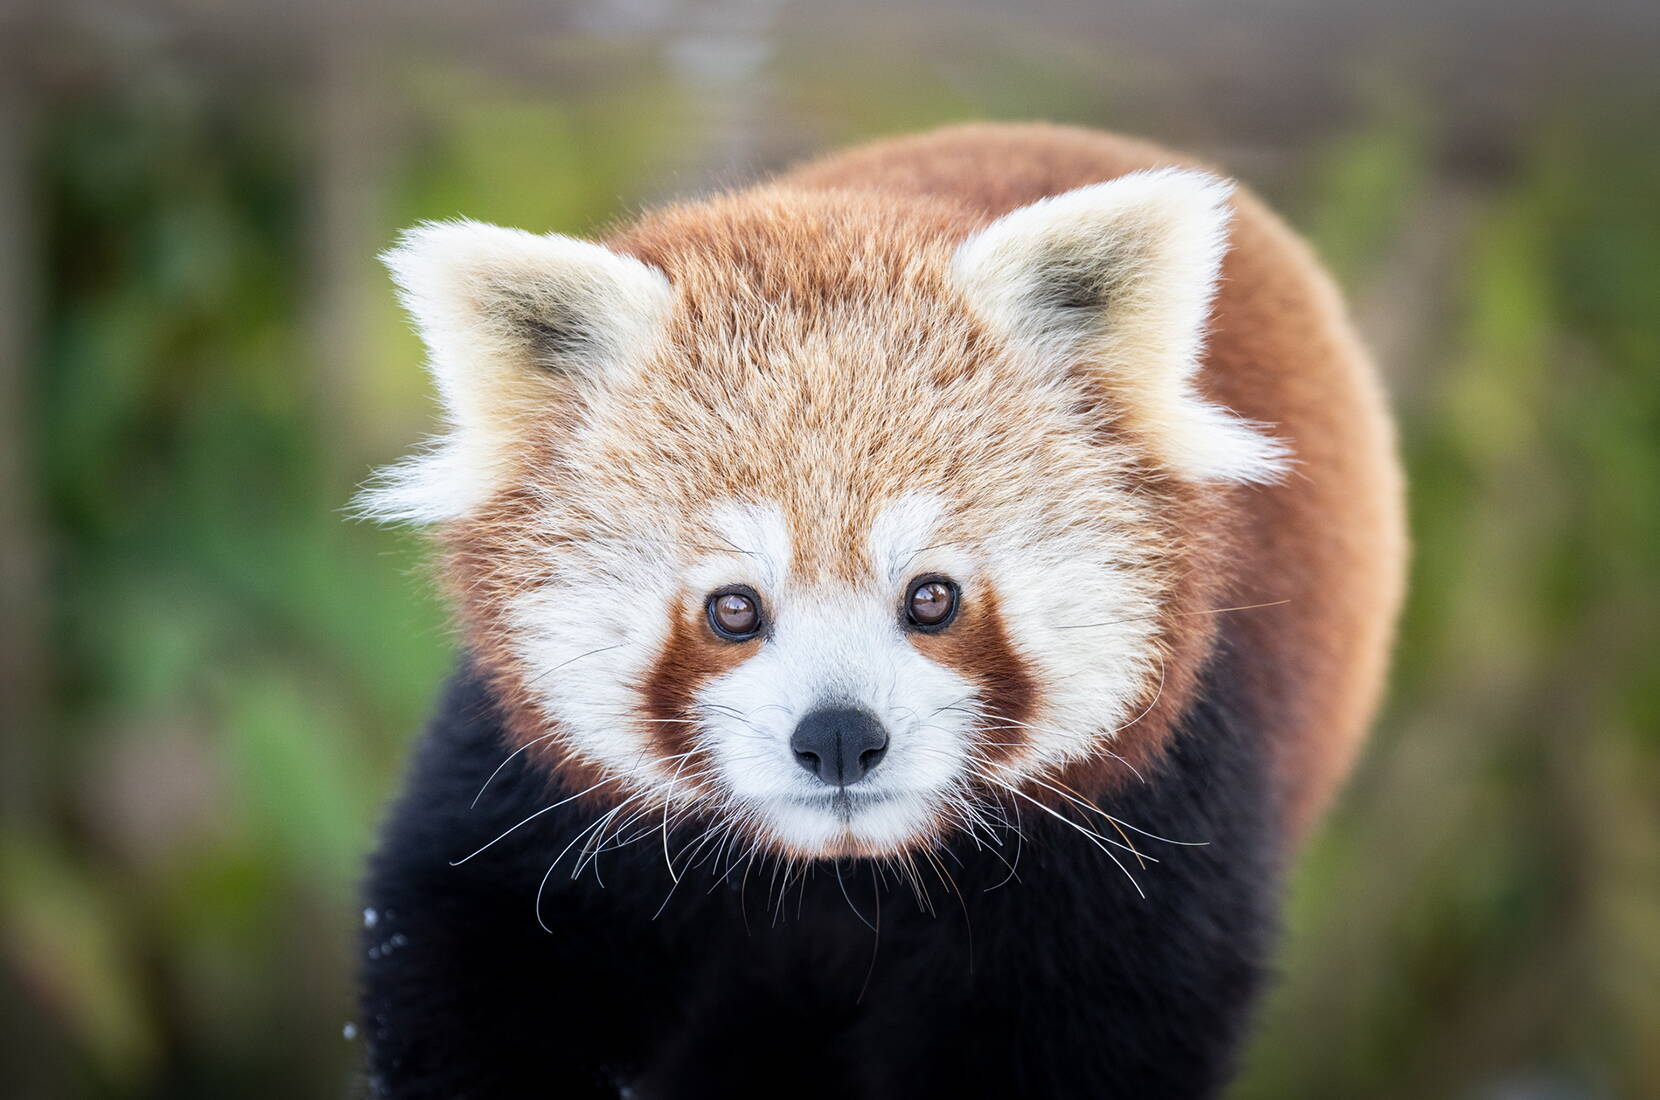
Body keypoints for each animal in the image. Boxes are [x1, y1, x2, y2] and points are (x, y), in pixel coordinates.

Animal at [356, 122, 1407, 1100]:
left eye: (931, 597)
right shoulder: (534, 790)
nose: (838, 738)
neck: (843, 874)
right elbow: (472, 939)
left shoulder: (1152, 808)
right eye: (733, 609)